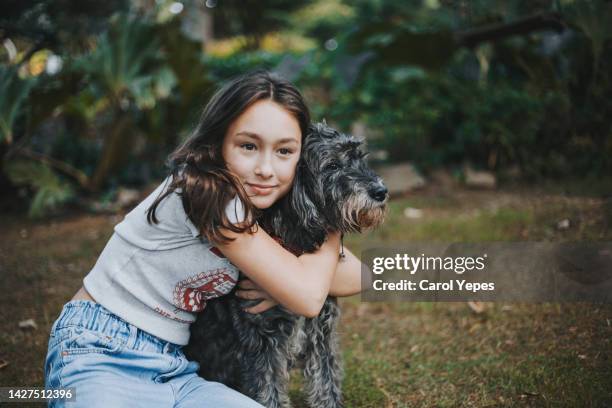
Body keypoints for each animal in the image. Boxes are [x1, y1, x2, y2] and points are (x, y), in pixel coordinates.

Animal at [184, 121, 390, 408]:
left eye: (360, 158)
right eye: (332, 165)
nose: (381, 192)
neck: (295, 250)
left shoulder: (321, 335)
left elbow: (326, 382)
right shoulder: (261, 343)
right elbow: (269, 393)